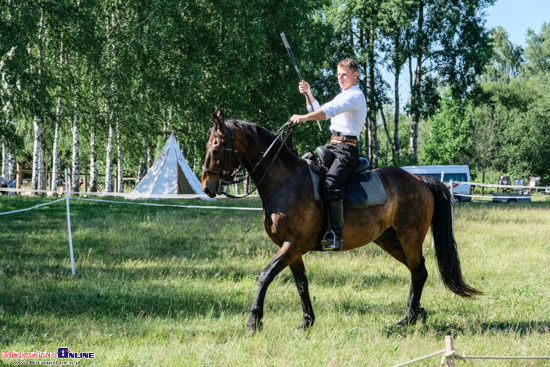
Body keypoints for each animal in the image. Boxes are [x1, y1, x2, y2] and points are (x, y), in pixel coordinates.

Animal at [201, 110, 480, 334]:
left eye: (215, 149)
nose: (207, 186)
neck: (285, 181)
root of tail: (421, 180)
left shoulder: (292, 245)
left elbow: (265, 276)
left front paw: (254, 321)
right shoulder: (291, 249)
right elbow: (301, 284)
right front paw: (306, 322)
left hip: (409, 237)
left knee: (419, 270)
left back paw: (409, 317)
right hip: (389, 239)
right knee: (416, 271)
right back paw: (416, 313)